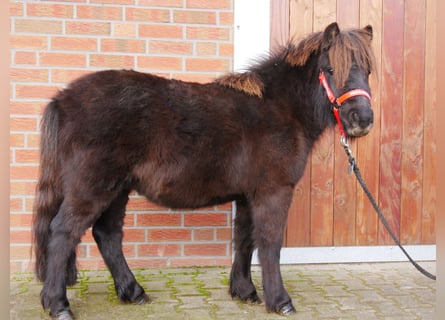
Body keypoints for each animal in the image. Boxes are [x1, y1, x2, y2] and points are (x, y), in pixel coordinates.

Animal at [33, 21, 374, 318]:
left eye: (368, 71)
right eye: (331, 70)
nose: (362, 120)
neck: (281, 108)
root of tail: (62, 99)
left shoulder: (247, 195)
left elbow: (245, 239)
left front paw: (244, 290)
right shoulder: (273, 191)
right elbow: (269, 242)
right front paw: (279, 300)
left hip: (117, 189)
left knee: (107, 235)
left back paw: (133, 292)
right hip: (93, 187)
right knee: (63, 232)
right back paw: (58, 304)